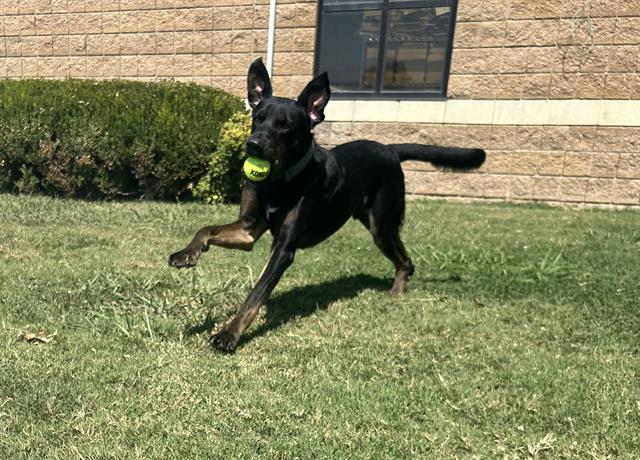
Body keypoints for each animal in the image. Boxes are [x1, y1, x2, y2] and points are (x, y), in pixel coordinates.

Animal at [170, 58, 484, 352]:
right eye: (257, 118)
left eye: (285, 126)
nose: (253, 144)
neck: (281, 183)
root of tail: (390, 150)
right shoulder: (248, 228)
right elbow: (206, 229)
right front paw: (187, 254)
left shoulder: (284, 249)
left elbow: (256, 293)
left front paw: (229, 334)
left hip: (382, 225)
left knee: (405, 260)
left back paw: (397, 291)